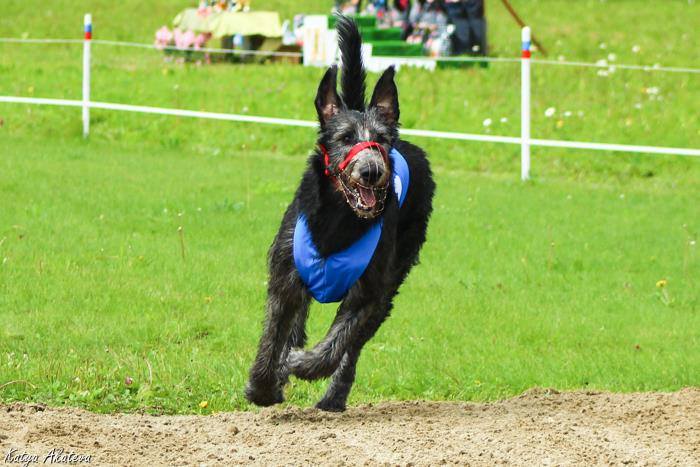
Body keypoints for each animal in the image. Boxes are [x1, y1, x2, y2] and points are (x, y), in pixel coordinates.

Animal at [243, 14, 434, 412]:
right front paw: (263, 385)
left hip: (397, 272)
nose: (372, 171)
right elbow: (275, 330)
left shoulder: (370, 288)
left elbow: (338, 342)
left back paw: (333, 395)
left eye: (381, 139)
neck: (338, 220)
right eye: (346, 137)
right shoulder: (287, 271)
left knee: (354, 346)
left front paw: (302, 364)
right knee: (297, 322)